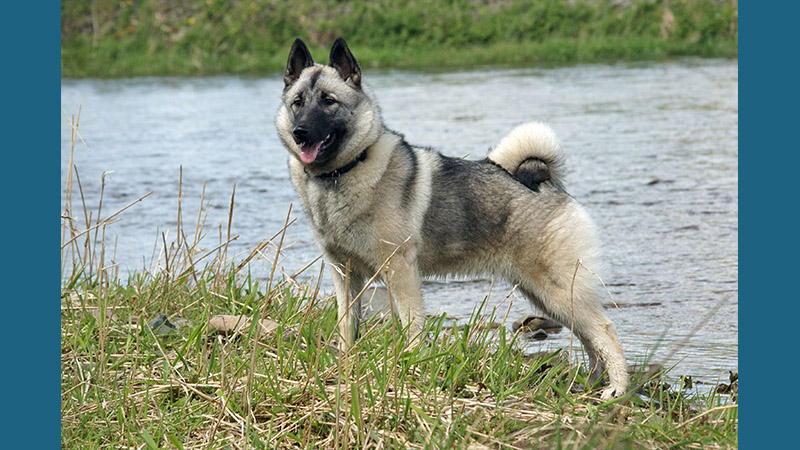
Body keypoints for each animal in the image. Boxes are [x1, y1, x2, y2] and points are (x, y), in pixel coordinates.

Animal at [278, 37, 628, 398]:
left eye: (329, 101)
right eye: (297, 103)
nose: (300, 131)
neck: (342, 173)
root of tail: (545, 180)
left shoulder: (400, 270)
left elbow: (411, 325)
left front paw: (410, 364)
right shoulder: (344, 274)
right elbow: (347, 325)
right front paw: (346, 363)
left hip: (556, 288)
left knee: (604, 329)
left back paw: (616, 389)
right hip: (543, 294)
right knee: (588, 337)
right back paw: (593, 383)